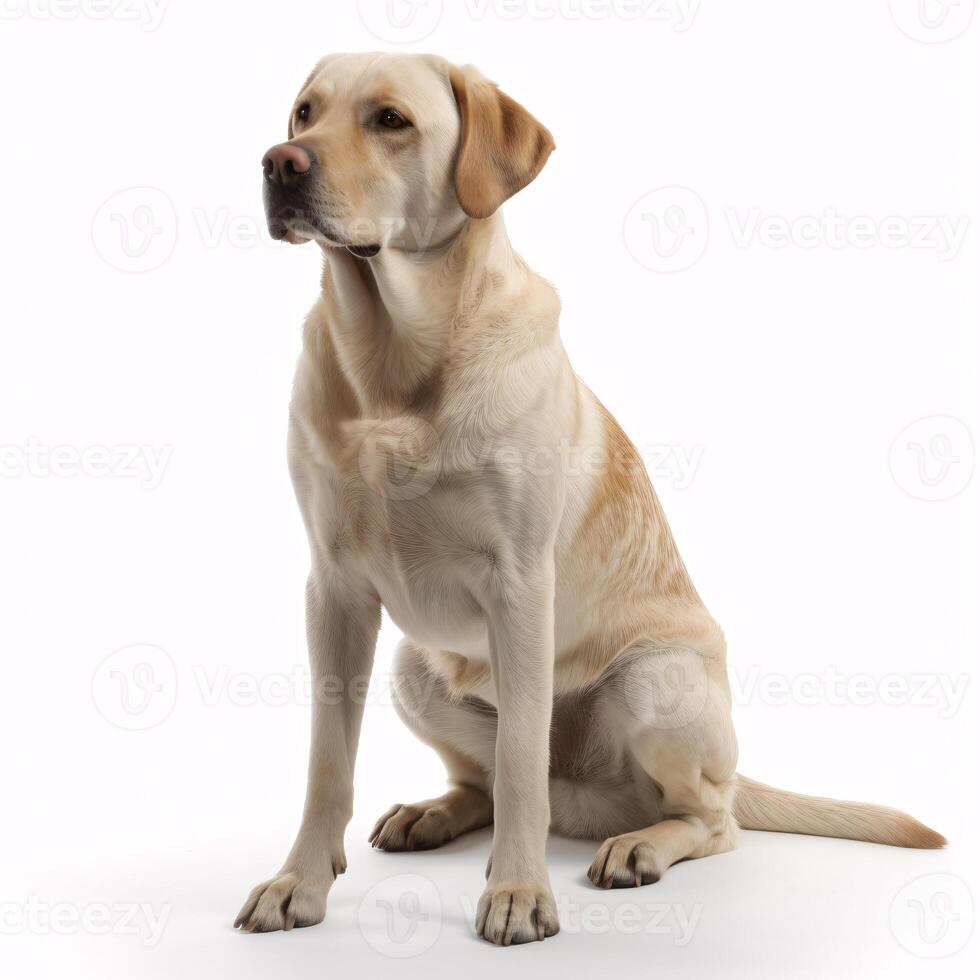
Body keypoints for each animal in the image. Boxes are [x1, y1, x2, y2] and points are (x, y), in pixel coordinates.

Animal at [234, 51, 944, 940]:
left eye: (390, 120)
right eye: (305, 112)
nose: (278, 164)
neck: (394, 355)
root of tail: (588, 797)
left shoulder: (519, 584)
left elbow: (518, 764)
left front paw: (517, 890)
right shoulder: (332, 589)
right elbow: (328, 762)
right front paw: (299, 881)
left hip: (654, 680)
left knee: (705, 818)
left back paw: (639, 845)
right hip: (413, 669)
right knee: (489, 783)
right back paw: (433, 813)